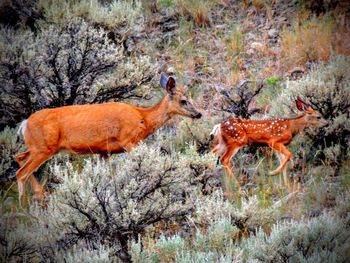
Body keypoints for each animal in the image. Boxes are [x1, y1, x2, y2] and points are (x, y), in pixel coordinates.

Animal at [16, 73, 202, 205]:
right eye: (184, 101)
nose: (198, 114)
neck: (143, 118)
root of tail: (24, 124)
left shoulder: (104, 152)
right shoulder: (128, 141)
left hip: (37, 147)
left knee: (19, 158)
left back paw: (39, 198)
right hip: (44, 148)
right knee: (21, 173)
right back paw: (25, 210)